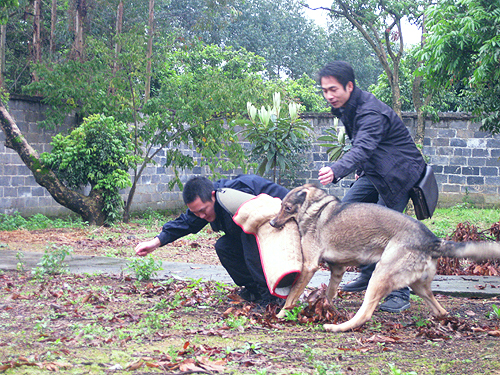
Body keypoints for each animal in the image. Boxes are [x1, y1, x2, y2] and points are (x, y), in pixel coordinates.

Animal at [272, 184, 500, 334]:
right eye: (280, 206)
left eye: (287, 208)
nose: (273, 223)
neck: (315, 208)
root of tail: (432, 240)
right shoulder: (337, 270)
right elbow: (329, 293)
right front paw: (326, 308)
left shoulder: (309, 266)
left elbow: (292, 295)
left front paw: (282, 314)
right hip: (418, 286)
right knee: (441, 310)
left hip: (379, 275)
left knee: (365, 313)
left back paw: (337, 327)